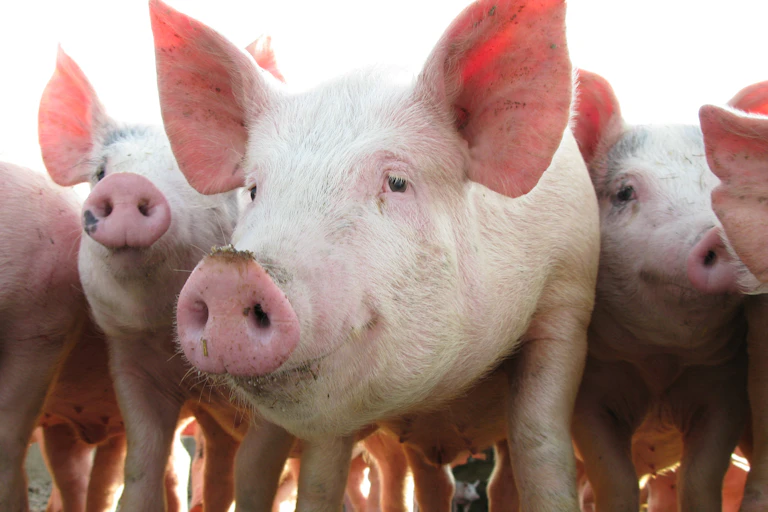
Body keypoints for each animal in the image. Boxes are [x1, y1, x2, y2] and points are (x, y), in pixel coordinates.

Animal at [152, 0, 600, 509]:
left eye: (397, 182)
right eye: (253, 189)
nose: (229, 273)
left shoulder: (568, 299)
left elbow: (539, 445)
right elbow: (320, 480)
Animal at [571, 69, 749, 511]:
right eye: (624, 191)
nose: (718, 234)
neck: (661, 361)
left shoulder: (726, 388)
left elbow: (702, 478)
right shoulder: (589, 392)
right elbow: (614, 479)